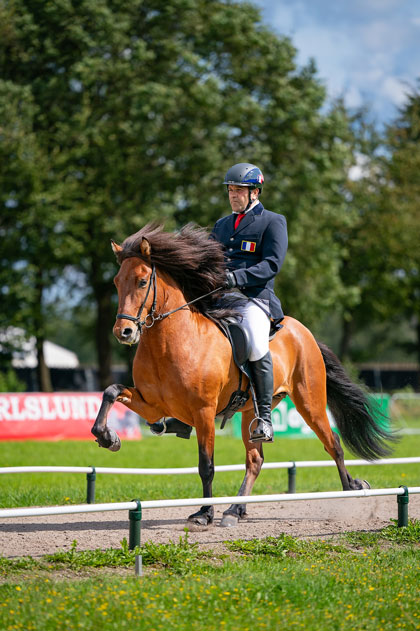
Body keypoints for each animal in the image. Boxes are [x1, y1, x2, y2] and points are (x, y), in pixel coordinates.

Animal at [90, 222, 396, 528]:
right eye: (117, 282)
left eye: (142, 282)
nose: (124, 332)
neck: (169, 343)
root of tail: (303, 332)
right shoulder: (153, 407)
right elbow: (111, 391)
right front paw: (107, 437)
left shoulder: (203, 412)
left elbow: (206, 466)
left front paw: (204, 513)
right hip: (253, 410)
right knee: (255, 459)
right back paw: (234, 510)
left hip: (310, 402)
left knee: (333, 444)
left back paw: (349, 492)